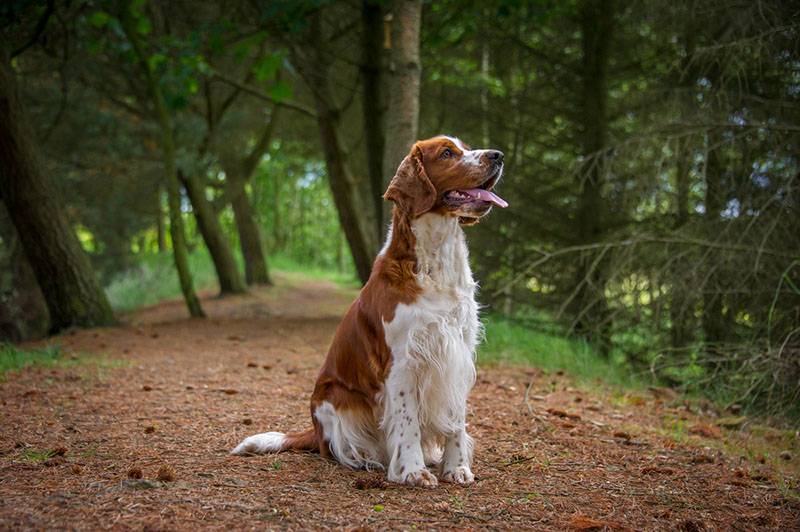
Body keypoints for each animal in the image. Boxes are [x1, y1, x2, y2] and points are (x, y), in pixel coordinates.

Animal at [231, 134, 506, 486]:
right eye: (447, 153)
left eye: (467, 147)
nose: (498, 155)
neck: (436, 262)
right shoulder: (403, 360)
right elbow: (407, 421)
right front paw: (412, 471)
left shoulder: (458, 351)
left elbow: (456, 420)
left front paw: (456, 467)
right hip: (335, 400)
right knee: (335, 448)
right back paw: (367, 460)